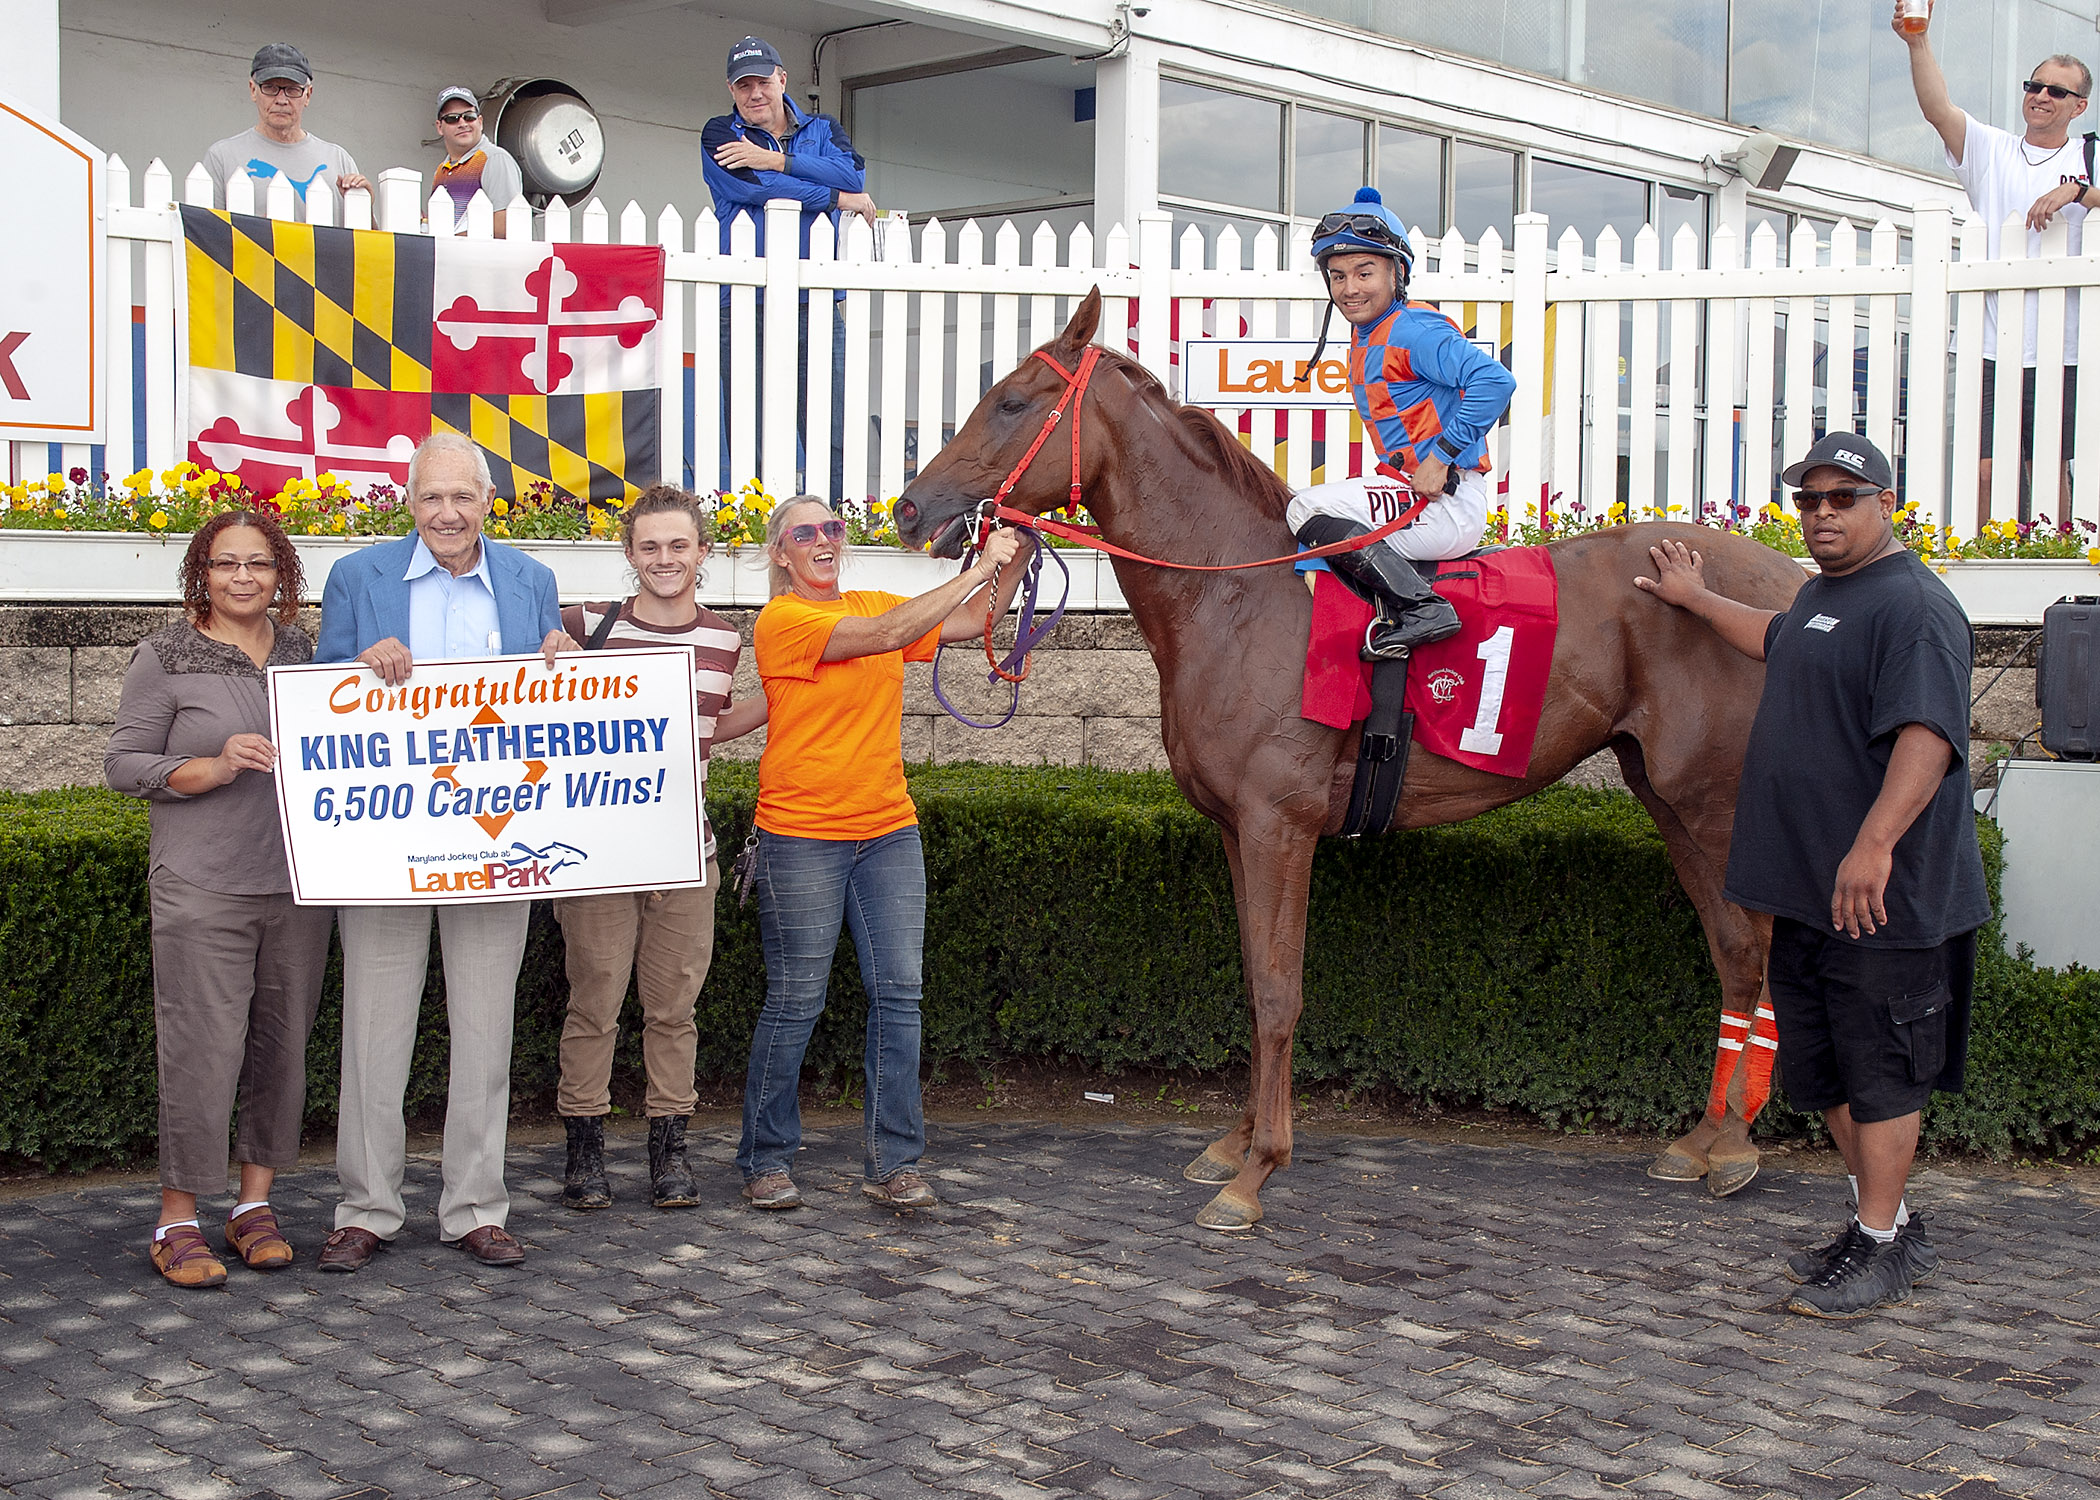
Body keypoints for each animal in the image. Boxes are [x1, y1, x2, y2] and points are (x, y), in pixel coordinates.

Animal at [890, 292, 1805, 1226]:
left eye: (1010, 401)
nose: (909, 510)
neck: (1234, 590)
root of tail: (1786, 588)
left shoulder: (1279, 824)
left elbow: (1278, 989)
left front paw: (1257, 1170)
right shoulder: (1236, 829)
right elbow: (1254, 976)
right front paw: (1233, 1144)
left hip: (1716, 803)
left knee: (1760, 949)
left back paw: (1736, 1147)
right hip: (1665, 794)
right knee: (1734, 951)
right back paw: (1701, 1141)